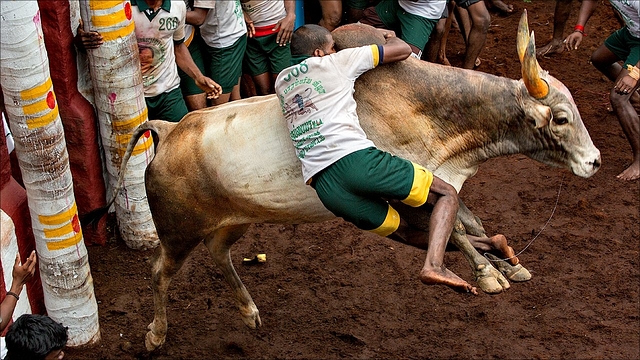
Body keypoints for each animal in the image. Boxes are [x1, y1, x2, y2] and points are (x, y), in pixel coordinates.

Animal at [105, 12, 600, 350]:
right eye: (560, 117)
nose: (594, 161)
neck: (435, 111)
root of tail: (169, 130)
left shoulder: (435, 187)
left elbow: (471, 224)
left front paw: (508, 262)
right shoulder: (413, 186)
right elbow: (458, 229)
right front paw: (488, 273)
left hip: (234, 221)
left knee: (218, 254)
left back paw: (249, 313)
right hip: (177, 232)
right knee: (160, 272)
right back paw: (156, 335)